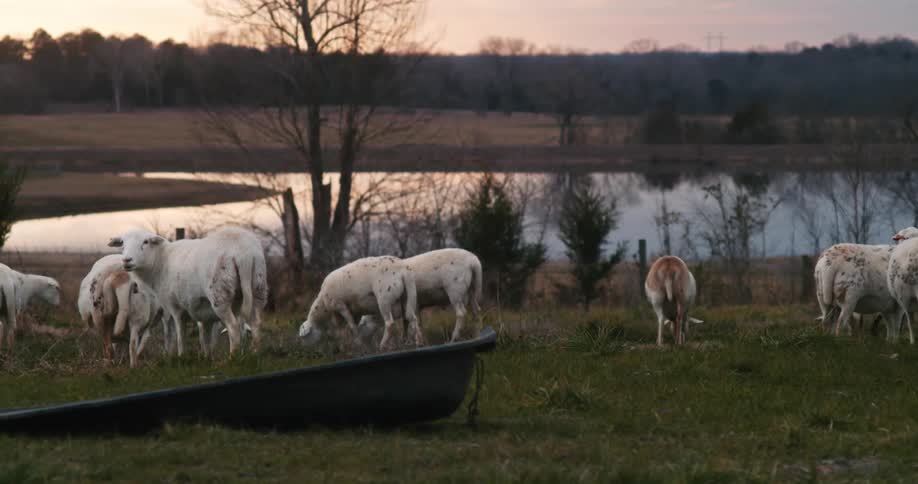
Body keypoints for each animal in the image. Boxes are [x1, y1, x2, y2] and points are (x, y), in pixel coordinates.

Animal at [108, 227, 268, 356]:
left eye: (145, 242)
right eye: (122, 243)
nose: (127, 260)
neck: (160, 262)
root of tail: (243, 253)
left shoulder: (175, 307)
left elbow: (180, 335)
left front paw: (181, 356)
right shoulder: (204, 312)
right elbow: (205, 336)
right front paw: (206, 356)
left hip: (219, 294)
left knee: (233, 326)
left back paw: (232, 357)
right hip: (258, 285)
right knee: (256, 322)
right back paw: (255, 352)